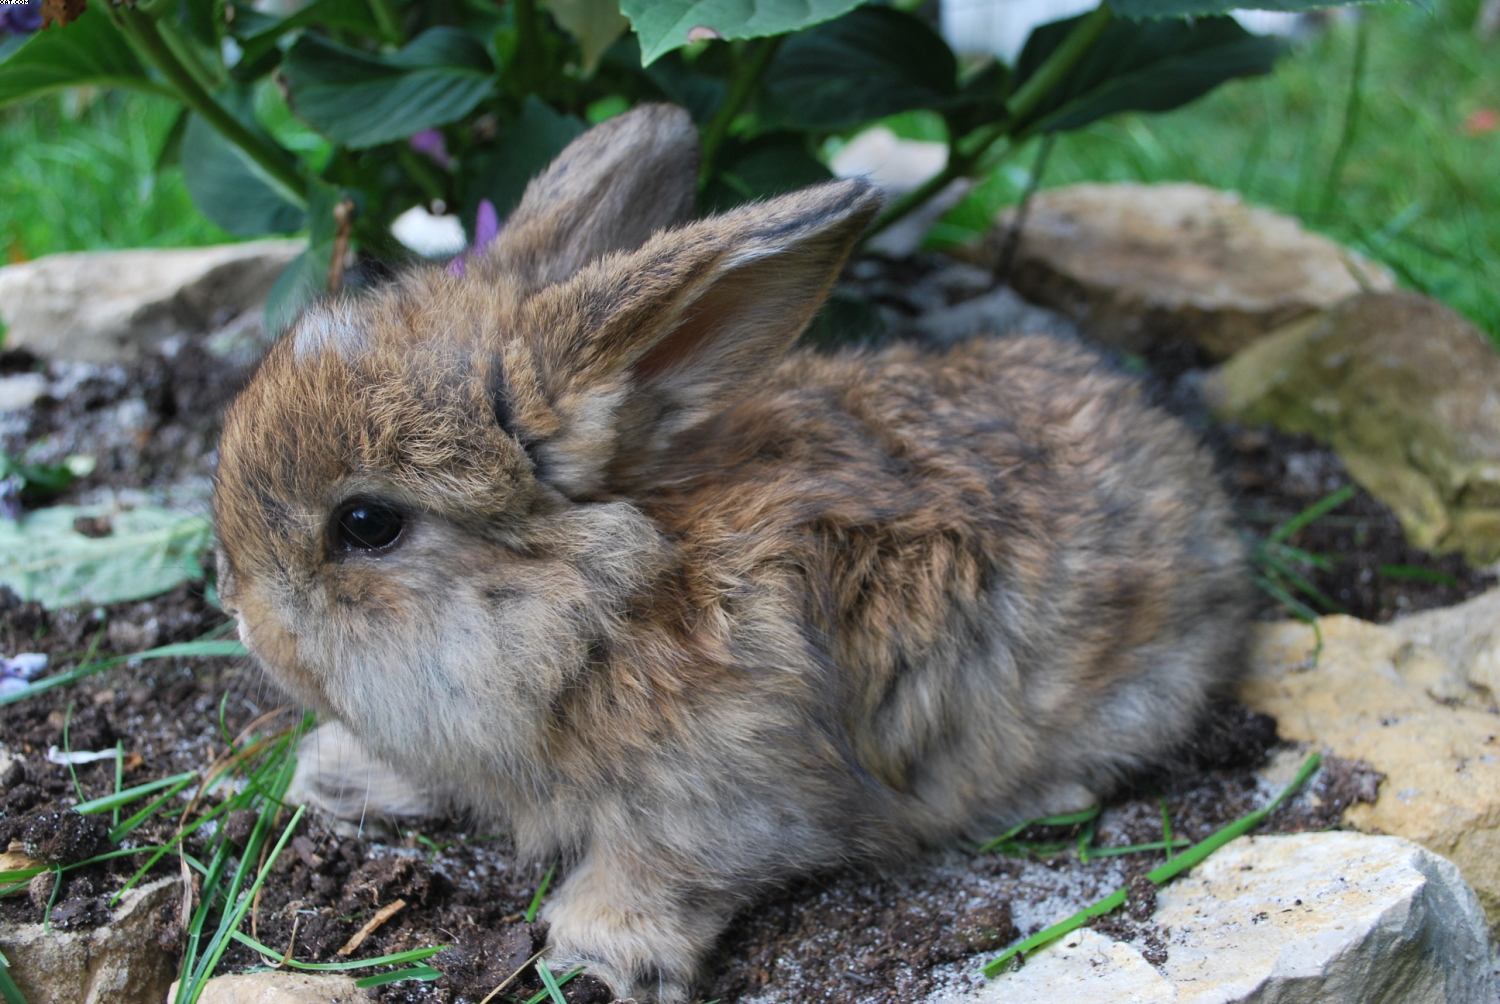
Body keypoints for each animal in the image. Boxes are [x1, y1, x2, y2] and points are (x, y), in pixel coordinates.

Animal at [214, 99, 1254, 996]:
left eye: (367, 524)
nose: (246, 622)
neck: (595, 612)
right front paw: (334, 775)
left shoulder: (722, 803)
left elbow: (658, 874)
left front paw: (596, 957)